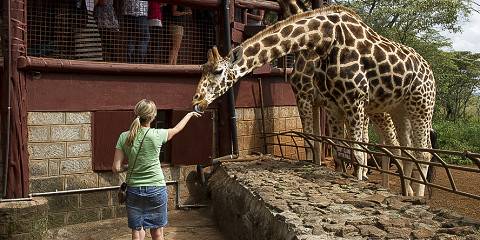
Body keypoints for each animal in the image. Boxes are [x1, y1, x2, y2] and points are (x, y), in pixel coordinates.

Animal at [191, 5, 436, 196]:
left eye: (218, 71)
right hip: (399, 109)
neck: (325, 39)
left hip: (421, 106)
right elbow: (337, 152)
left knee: (423, 152)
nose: (197, 101)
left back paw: (418, 197)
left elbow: (356, 153)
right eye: (202, 69)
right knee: (405, 151)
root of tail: (430, 70)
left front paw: (358, 182)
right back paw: (408, 192)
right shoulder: (334, 105)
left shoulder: (353, 100)